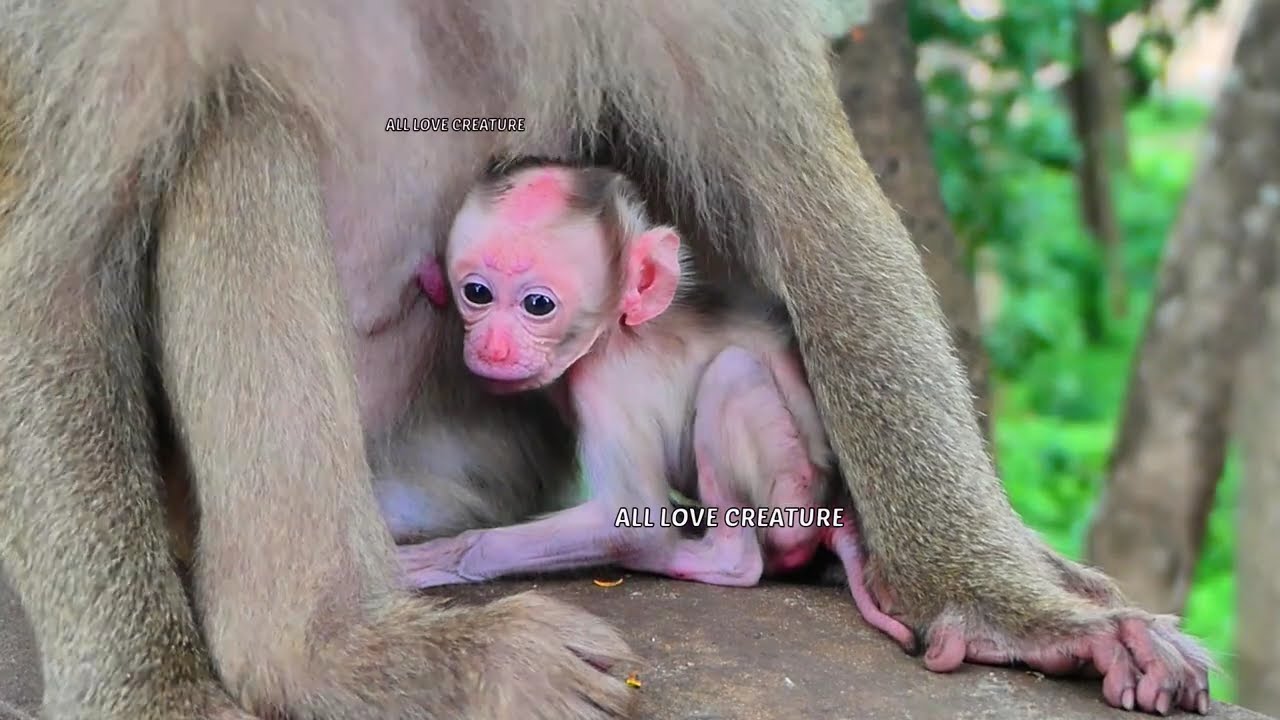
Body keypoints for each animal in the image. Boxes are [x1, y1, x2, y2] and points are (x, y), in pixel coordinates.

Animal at [396, 161, 916, 651]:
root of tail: (832, 507)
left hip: (793, 496)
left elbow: (629, 517)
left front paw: (447, 556)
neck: (611, 333)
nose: (494, 348)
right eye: (477, 293)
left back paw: (707, 557)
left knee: (730, 375)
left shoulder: (606, 383)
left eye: (538, 305)